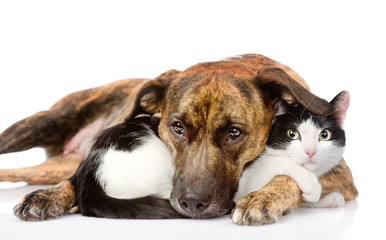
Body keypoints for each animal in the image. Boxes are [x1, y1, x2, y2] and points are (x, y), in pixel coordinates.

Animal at [0, 54, 358, 225]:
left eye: (234, 132)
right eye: (177, 127)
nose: (192, 204)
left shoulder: (342, 173)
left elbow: (291, 175)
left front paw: (264, 197)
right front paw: (52, 196)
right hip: (39, 125)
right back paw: (50, 194)